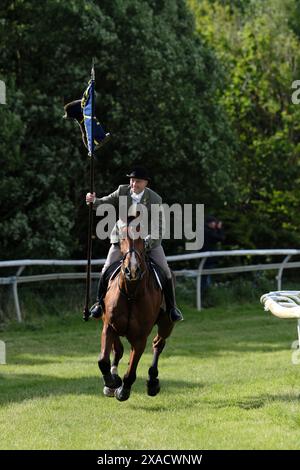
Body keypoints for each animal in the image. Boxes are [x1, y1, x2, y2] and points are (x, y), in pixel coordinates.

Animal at [97, 219, 175, 400]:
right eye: (122, 238)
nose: (132, 270)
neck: (131, 293)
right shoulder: (109, 326)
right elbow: (103, 359)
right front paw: (112, 382)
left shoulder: (140, 338)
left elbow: (131, 371)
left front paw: (123, 389)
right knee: (118, 350)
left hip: (167, 324)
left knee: (158, 344)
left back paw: (152, 381)